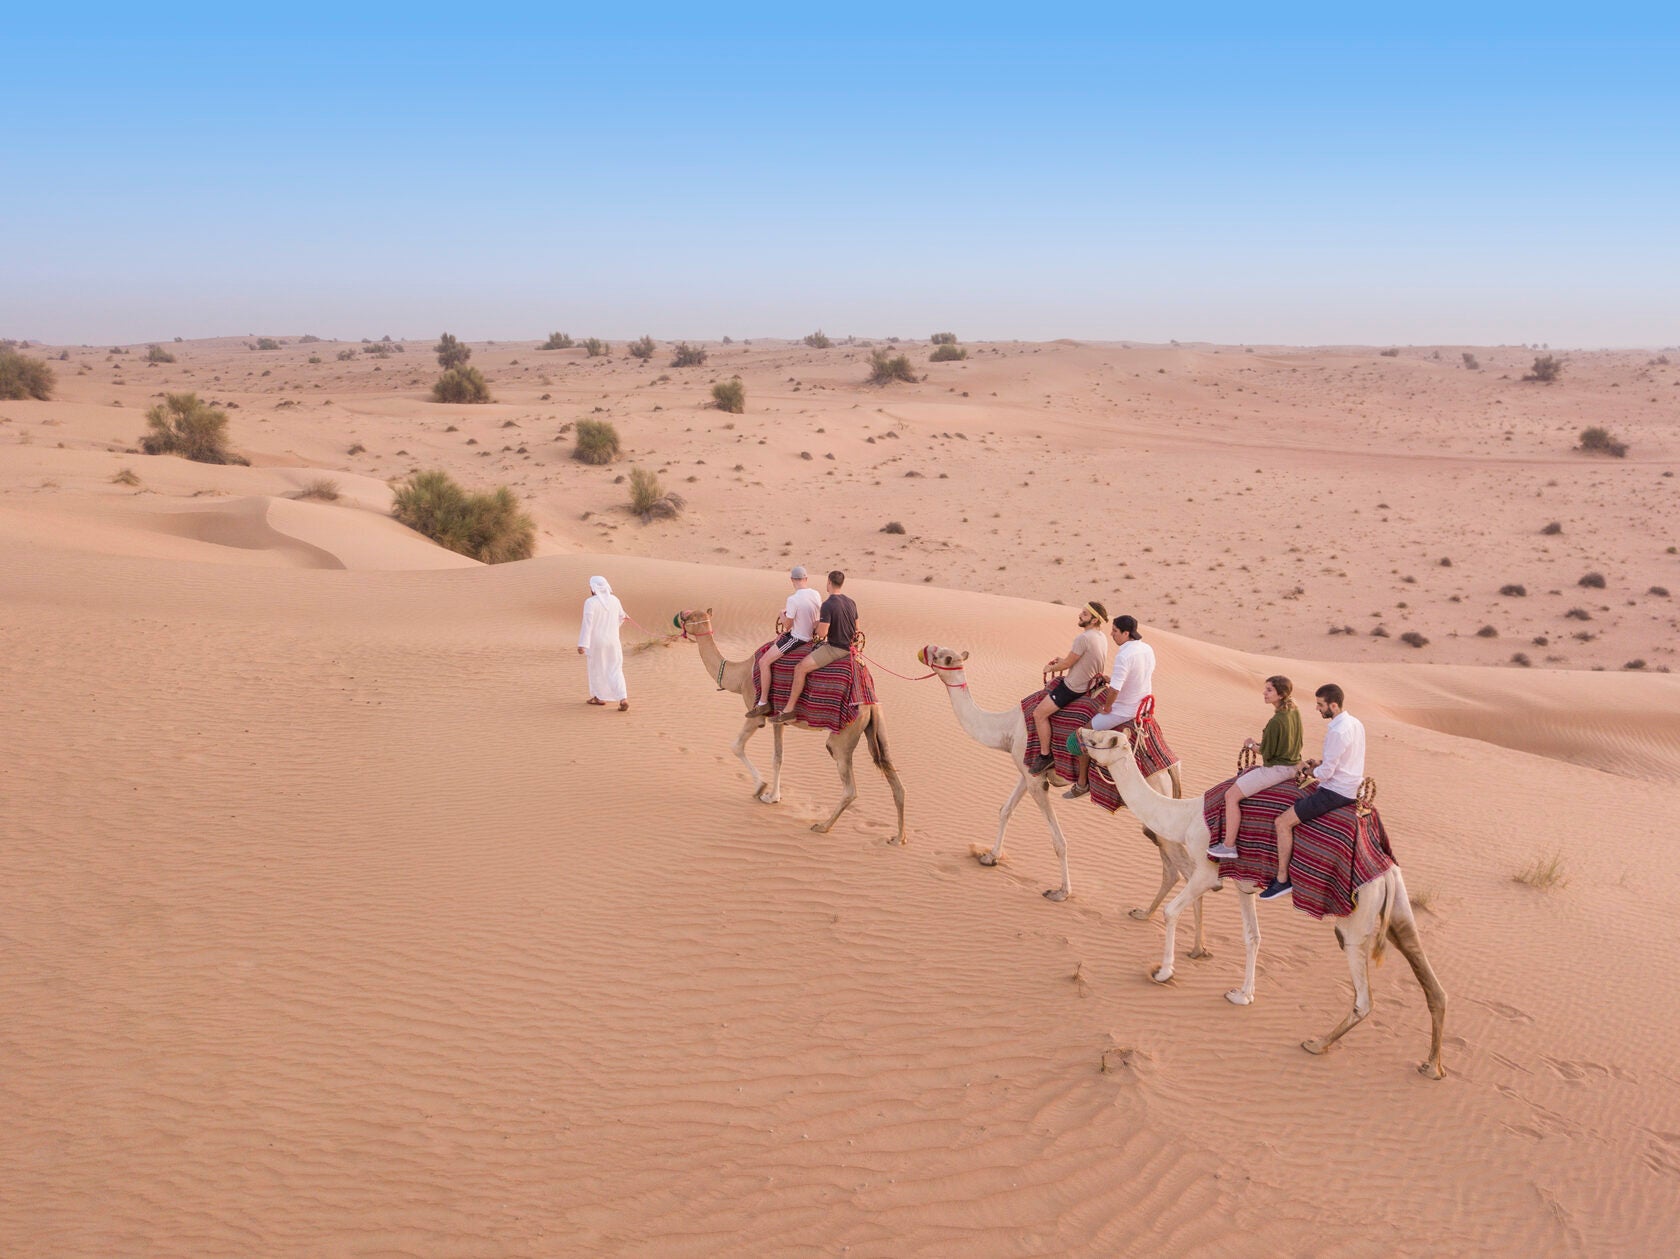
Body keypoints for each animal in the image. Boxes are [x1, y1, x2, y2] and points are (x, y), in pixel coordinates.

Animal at [677, 609, 905, 844]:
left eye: (690, 617)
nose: (680, 616)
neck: (740, 676)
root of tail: (868, 698)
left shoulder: (755, 712)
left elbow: (736, 746)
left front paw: (761, 787)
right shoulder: (779, 720)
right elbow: (778, 757)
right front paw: (773, 797)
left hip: (843, 736)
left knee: (850, 786)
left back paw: (822, 826)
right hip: (876, 726)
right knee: (893, 775)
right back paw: (898, 838)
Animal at [916, 646, 1199, 939]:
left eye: (943, 657)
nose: (924, 651)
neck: (1007, 728)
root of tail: (1172, 765)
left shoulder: (1035, 780)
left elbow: (1058, 841)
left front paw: (1062, 892)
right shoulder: (1028, 771)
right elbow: (1005, 810)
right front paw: (990, 857)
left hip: (1155, 796)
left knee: (1186, 868)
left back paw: (1193, 943)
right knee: (1172, 868)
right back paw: (1143, 913)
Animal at [1079, 727, 1447, 1077]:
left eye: (1100, 740)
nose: (1080, 734)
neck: (1186, 817)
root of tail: (1383, 870)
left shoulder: (1207, 872)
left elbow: (1172, 911)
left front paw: (1164, 971)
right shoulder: (1243, 885)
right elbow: (1253, 937)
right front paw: (1242, 995)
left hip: (1355, 923)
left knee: (1364, 997)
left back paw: (1317, 1043)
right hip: (1397, 908)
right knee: (1429, 978)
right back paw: (1433, 1066)